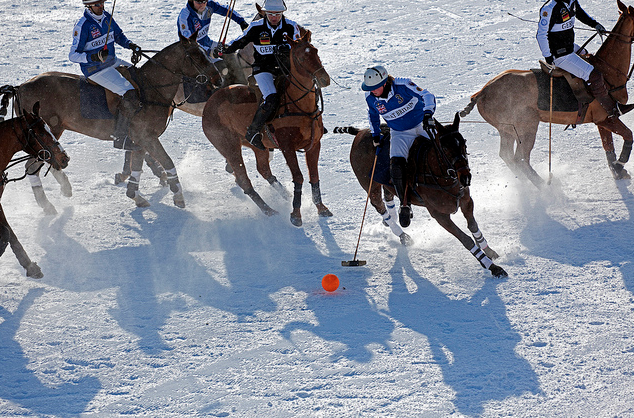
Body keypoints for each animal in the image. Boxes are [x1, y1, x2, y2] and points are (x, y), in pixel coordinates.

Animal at [0, 32, 212, 209]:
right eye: (196, 56)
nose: (216, 78)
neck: (152, 88)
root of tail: (20, 87)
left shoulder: (141, 139)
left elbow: (138, 165)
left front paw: (136, 195)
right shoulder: (146, 136)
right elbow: (166, 161)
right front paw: (178, 196)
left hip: (49, 132)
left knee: (45, 162)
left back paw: (65, 188)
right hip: (43, 133)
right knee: (32, 166)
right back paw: (47, 205)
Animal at [0, 101, 69, 278]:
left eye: (50, 129)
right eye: (41, 133)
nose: (65, 158)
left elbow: (9, 234)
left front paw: (30, 266)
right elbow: (7, 233)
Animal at [201, 29, 330, 227]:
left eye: (316, 51)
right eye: (300, 58)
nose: (324, 79)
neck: (300, 106)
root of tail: (209, 103)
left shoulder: (314, 144)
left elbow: (314, 176)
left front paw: (321, 209)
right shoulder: (286, 147)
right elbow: (298, 177)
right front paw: (296, 215)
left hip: (258, 146)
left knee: (262, 169)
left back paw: (284, 195)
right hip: (228, 146)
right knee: (244, 180)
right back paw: (269, 210)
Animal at [338, 114, 506, 278]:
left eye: (463, 143)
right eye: (445, 148)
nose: (465, 178)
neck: (442, 176)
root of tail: (360, 132)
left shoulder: (467, 201)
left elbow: (473, 226)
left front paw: (489, 251)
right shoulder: (439, 215)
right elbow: (466, 239)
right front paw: (493, 267)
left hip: (384, 182)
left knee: (389, 196)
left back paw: (396, 216)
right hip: (369, 183)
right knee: (378, 203)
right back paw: (402, 234)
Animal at [460, 0, 632, 186]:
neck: (607, 70)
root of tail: (482, 92)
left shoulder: (601, 120)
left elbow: (608, 146)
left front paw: (617, 170)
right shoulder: (607, 118)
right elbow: (628, 135)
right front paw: (621, 164)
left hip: (507, 130)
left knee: (508, 156)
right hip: (527, 126)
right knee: (520, 158)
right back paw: (544, 187)